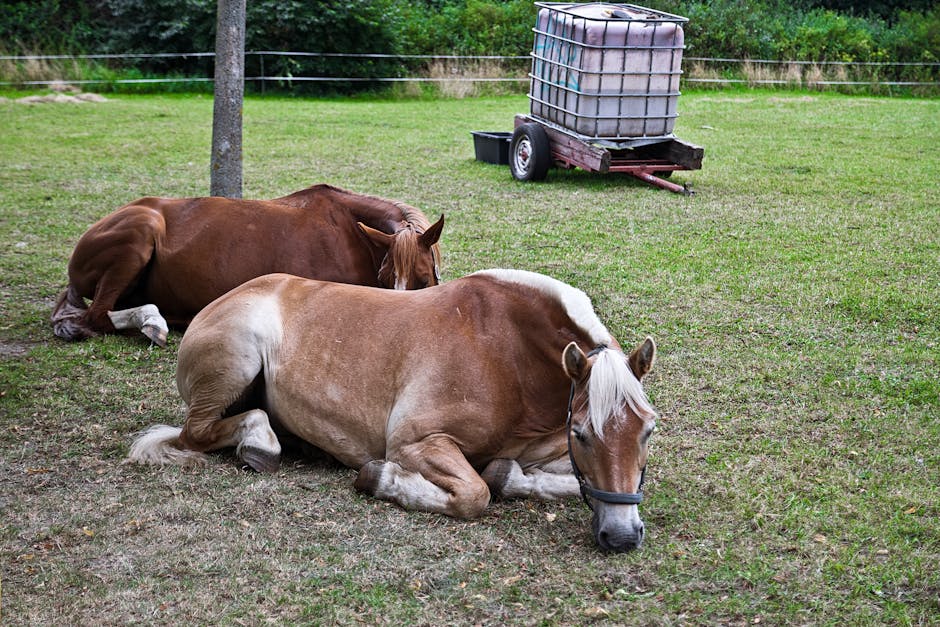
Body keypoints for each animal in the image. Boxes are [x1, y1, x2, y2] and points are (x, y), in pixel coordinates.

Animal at [50, 182, 444, 348]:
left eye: (424, 280)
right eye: (386, 277)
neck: (348, 233)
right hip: (138, 235)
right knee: (96, 316)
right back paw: (154, 323)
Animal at [129, 270, 660, 548]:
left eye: (648, 431)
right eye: (582, 432)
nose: (622, 536)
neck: (508, 353)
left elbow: (524, 478)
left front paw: (509, 474)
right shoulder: (415, 442)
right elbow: (474, 495)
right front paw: (380, 479)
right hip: (234, 361)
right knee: (197, 434)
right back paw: (260, 444)